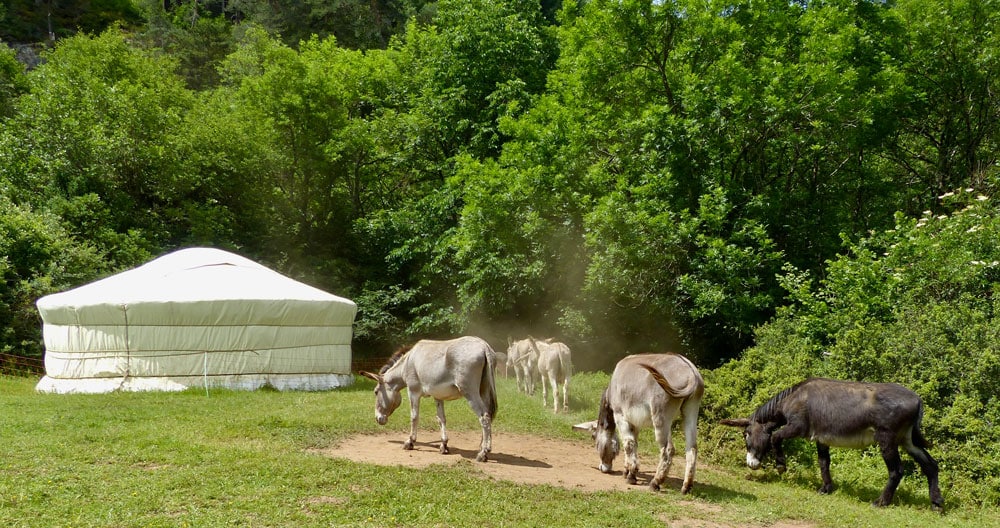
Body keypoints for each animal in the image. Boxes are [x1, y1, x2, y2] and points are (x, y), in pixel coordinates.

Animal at [359, 336, 498, 462]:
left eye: (376, 392)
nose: (378, 419)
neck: (407, 363)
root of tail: (484, 346)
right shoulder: (438, 396)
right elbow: (441, 419)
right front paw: (444, 446)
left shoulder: (413, 392)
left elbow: (414, 417)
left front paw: (410, 442)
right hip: (483, 390)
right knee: (489, 415)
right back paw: (484, 448)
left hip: (470, 392)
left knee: (484, 417)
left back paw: (483, 453)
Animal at [574, 353, 704, 493]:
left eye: (594, 438)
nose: (603, 468)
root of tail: (691, 373)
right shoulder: (634, 423)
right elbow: (633, 444)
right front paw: (628, 471)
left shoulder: (620, 416)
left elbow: (628, 444)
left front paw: (631, 476)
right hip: (691, 411)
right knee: (692, 448)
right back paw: (686, 487)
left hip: (661, 417)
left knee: (668, 449)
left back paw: (655, 483)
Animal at [720, 377, 943, 511]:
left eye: (746, 434)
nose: (751, 464)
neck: (794, 398)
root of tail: (918, 399)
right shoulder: (822, 438)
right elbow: (823, 463)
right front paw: (826, 488)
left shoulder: (797, 427)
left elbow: (775, 437)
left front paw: (781, 465)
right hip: (907, 440)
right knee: (930, 466)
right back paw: (937, 504)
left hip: (887, 439)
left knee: (896, 470)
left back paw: (881, 502)